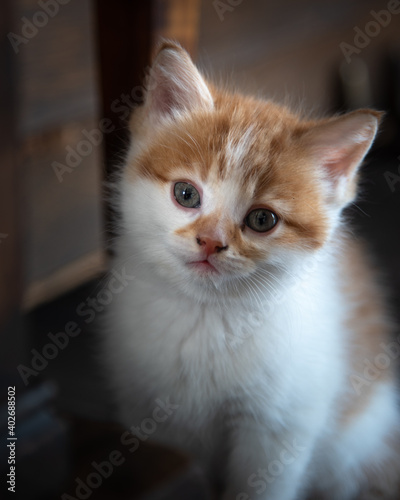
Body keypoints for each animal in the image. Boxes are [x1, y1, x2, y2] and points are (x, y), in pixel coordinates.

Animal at [101, 41, 400, 498]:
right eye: (185, 194)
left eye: (262, 220)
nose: (210, 241)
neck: (205, 315)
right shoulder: (151, 417)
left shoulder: (279, 429)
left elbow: (259, 485)